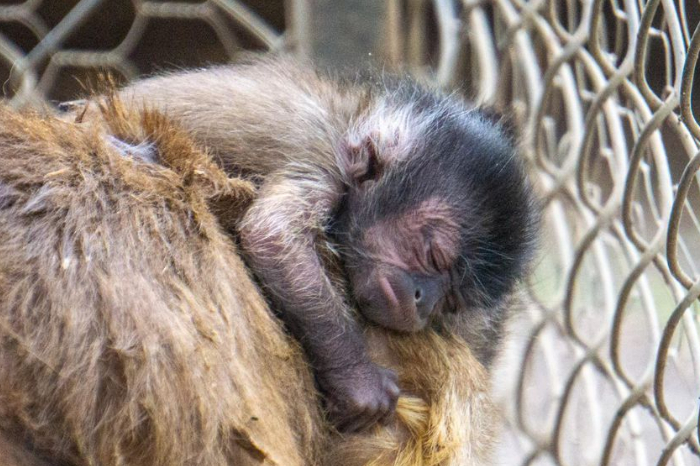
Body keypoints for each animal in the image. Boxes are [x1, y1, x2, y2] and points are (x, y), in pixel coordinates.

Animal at [66, 56, 537, 433]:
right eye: (432, 255)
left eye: (452, 300)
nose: (424, 300)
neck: (352, 121)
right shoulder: (321, 158)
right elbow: (272, 235)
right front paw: (358, 380)